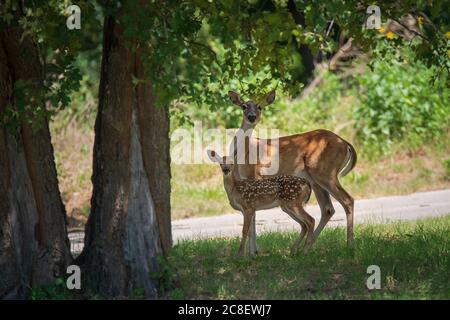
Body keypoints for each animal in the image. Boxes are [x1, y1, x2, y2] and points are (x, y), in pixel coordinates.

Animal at [230, 89, 356, 254]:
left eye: (259, 107)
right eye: (243, 106)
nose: (252, 117)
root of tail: (345, 143)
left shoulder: (256, 176)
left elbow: (253, 215)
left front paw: (252, 252)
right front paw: (254, 252)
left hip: (325, 172)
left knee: (347, 200)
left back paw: (349, 244)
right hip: (315, 179)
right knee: (328, 209)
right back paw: (305, 246)